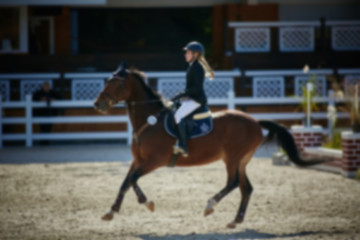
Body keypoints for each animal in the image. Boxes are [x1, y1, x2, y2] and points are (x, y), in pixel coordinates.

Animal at [93, 63, 326, 229]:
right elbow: (125, 182)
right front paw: (112, 211)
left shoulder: (153, 161)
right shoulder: (138, 161)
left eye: (115, 84)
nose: (97, 104)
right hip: (241, 161)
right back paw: (235, 221)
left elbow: (132, 180)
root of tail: (255, 121)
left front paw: (147, 203)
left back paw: (210, 205)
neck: (149, 121)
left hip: (232, 158)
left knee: (233, 183)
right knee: (246, 188)